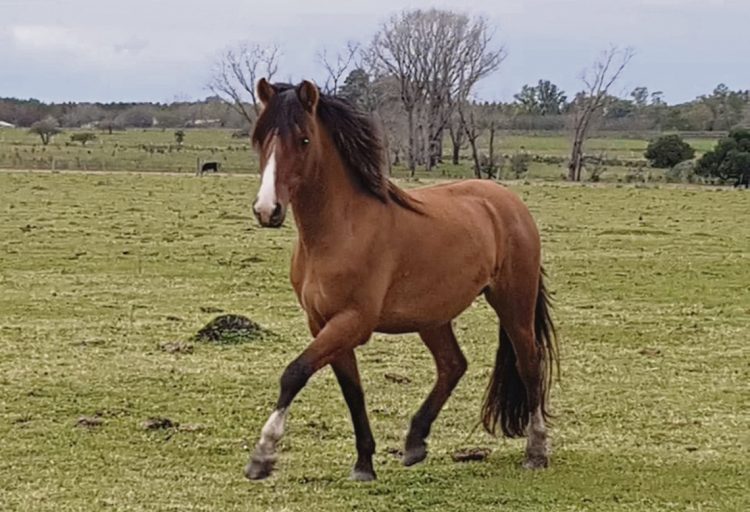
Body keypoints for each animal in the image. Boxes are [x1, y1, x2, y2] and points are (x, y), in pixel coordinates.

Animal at [245, 79, 558, 482]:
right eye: (260, 138)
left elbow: (295, 372)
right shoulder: (323, 324)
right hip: (433, 316)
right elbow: (353, 391)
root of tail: (507, 201)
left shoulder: (352, 321)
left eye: (303, 140)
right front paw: (364, 464)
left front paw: (263, 454)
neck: (342, 229)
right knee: (453, 365)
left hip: (513, 304)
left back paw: (536, 450)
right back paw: (415, 441)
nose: (267, 210)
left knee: (529, 365)